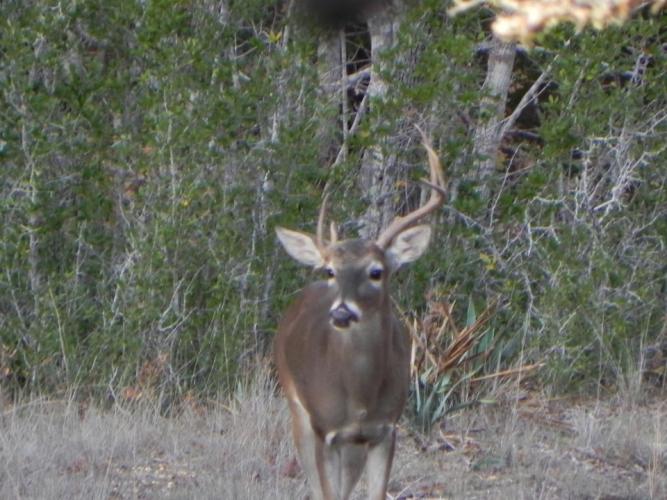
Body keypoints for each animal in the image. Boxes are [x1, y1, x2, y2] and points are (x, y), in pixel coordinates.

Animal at [274, 133, 445, 500]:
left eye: (376, 271)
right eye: (330, 270)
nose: (341, 311)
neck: (360, 398)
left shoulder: (385, 429)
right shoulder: (324, 429)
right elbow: (326, 492)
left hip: (353, 445)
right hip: (297, 407)